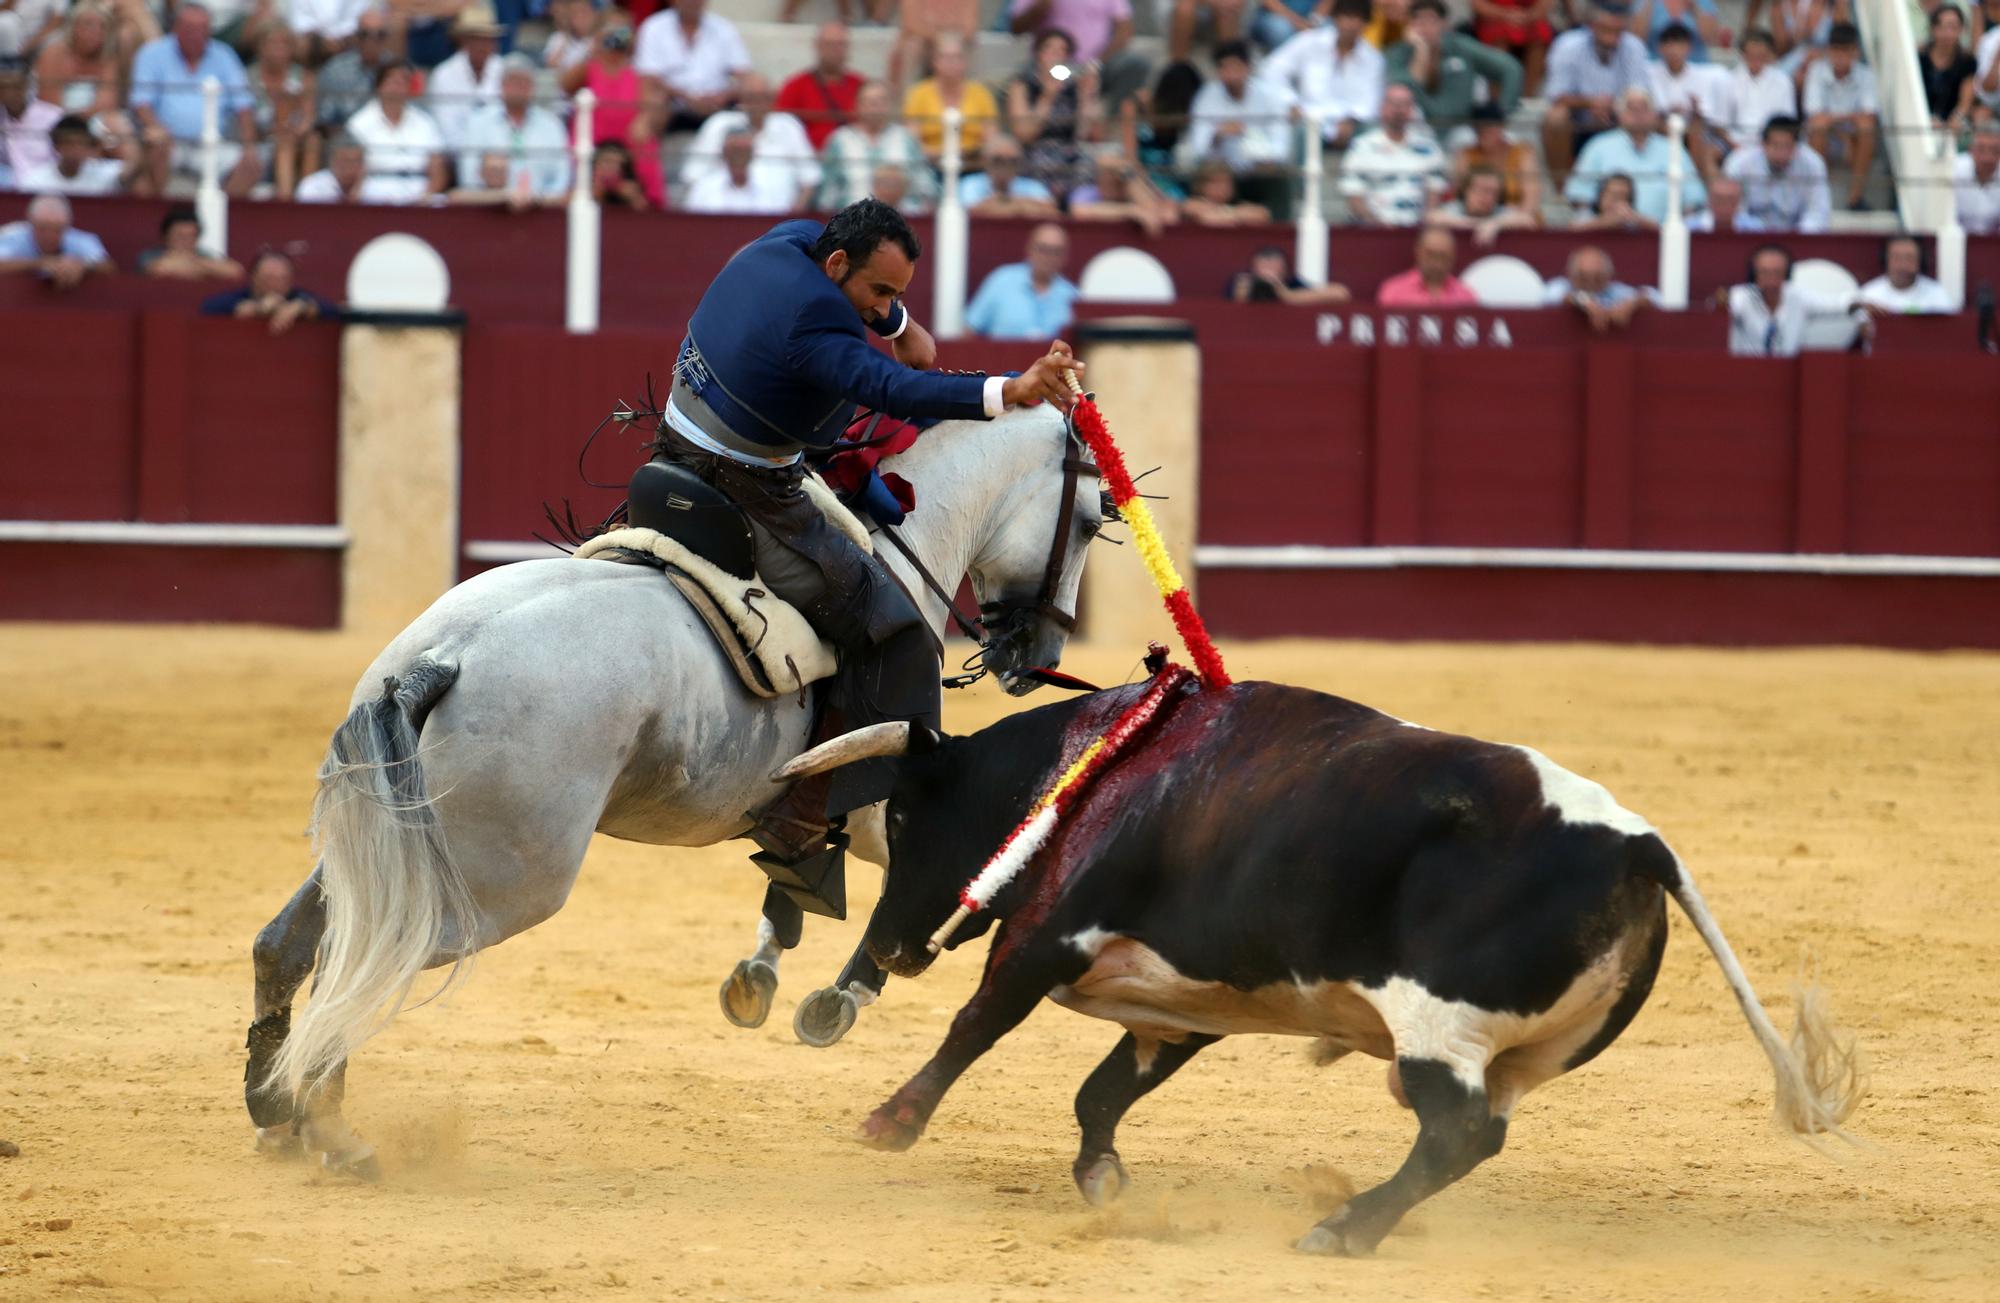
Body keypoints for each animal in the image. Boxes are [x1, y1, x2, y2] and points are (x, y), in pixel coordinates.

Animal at [246, 409, 1112, 1183]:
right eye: (1090, 521)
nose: (1040, 650)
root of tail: (441, 655)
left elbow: (795, 881)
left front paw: (764, 973)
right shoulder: (889, 804)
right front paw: (837, 997)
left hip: (392, 841)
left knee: (291, 941)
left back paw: (275, 1112)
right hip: (494, 883)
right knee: (366, 962)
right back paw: (332, 1131)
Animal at [776, 675, 1856, 1255]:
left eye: (901, 817)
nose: (888, 948)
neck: (1094, 766)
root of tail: (1638, 844)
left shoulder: (1045, 936)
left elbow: (979, 1024)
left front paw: (890, 1121)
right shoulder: (1181, 1005)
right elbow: (1104, 1088)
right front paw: (1104, 1180)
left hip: (1437, 1028)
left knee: (1454, 1130)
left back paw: (1340, 1228)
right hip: (1521, 1058)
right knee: (1480, 1136)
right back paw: (1354, 1219)